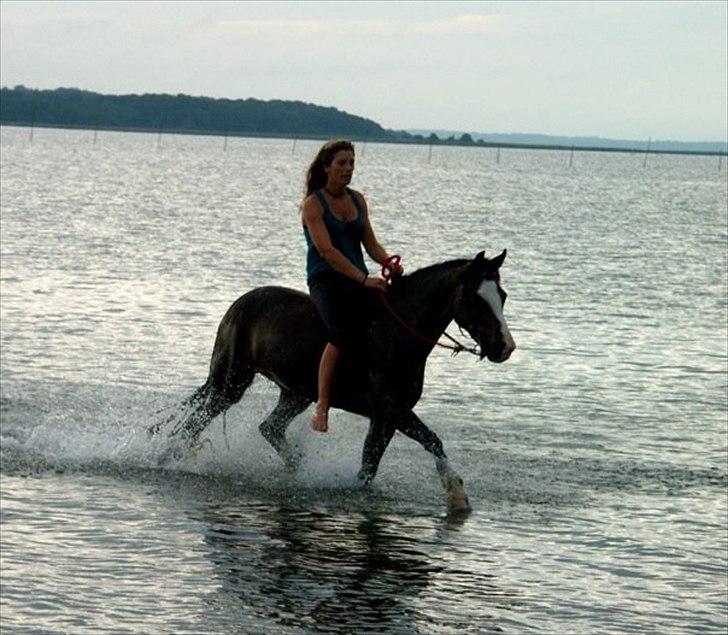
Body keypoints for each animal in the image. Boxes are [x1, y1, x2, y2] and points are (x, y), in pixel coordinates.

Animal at [149, 250, 512, 512]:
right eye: (475, 298)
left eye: (503, 295)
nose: (504, 347)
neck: (396, 334)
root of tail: (238, 304)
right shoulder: (391, 409)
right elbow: (430, 440)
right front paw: (456, 495)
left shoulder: (385, 417)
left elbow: (373, 462)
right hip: (232, 382)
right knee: (197, 420)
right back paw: (168, 458)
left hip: (296, 393)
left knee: (269, 427)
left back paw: (297, 468)